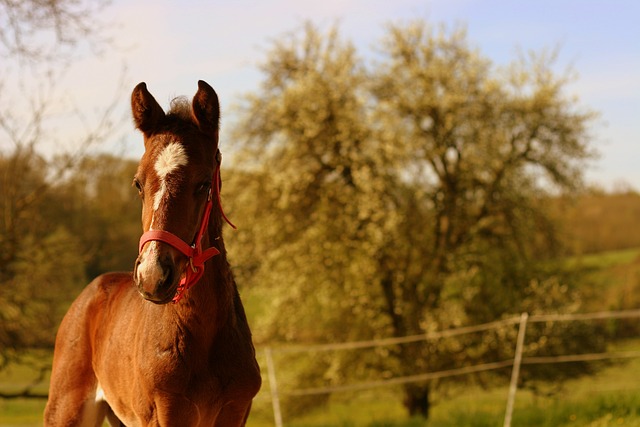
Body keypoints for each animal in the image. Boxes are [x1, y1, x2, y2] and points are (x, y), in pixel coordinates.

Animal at [44, 81, 260, 427]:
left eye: (203, 184)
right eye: (137, 183)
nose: (153, 276)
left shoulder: (236, 412)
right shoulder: (164, 414)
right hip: (66, 410)